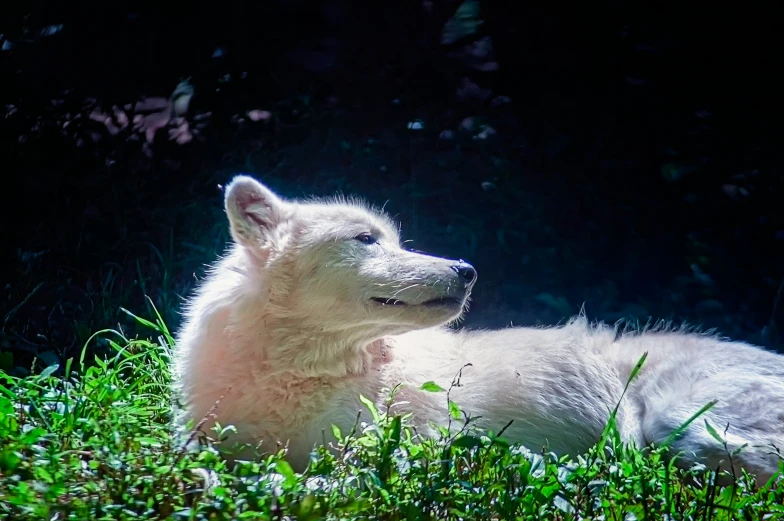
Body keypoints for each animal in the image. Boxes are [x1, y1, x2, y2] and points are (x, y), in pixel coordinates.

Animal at [173, 175, 784, 484]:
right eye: (366, 240)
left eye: (394, 239)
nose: (466, 270)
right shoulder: (205, 438)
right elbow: (204, 462)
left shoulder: (401, 453)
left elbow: (308, 481)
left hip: (681, 427)